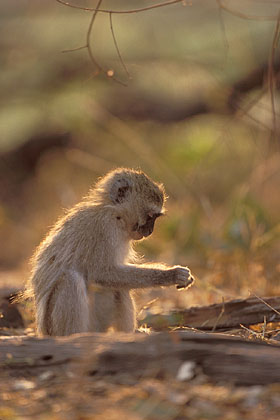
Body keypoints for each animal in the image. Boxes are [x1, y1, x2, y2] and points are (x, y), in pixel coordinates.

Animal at [29, 167, 194, 334]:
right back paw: (75, 336)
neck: (115, 214)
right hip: (55, 327)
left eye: (154, 218)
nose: (150, 231)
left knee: (120, 287)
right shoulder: (103, 227)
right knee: (71, 279)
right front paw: (171, 274)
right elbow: (102, 272)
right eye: (150, 217)